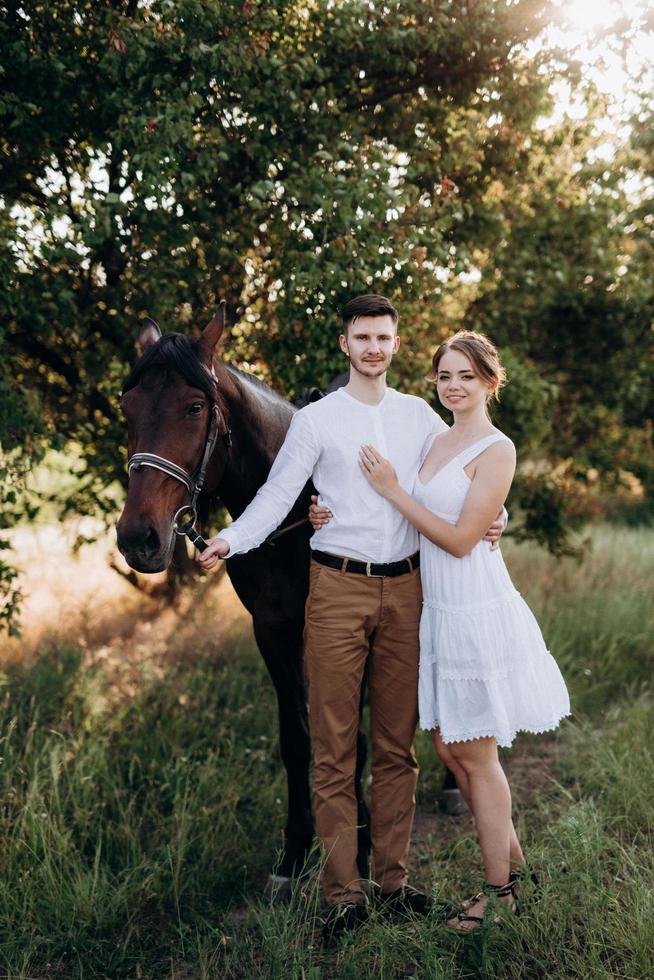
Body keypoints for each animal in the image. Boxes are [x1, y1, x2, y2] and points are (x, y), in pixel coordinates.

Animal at [117, 310, 372, 892]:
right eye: (128, 408)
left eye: (194, 407)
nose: (139, 538)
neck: (295, 510)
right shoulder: (274, 630)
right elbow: (297, 737)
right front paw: (296, 853)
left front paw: (365, 847)